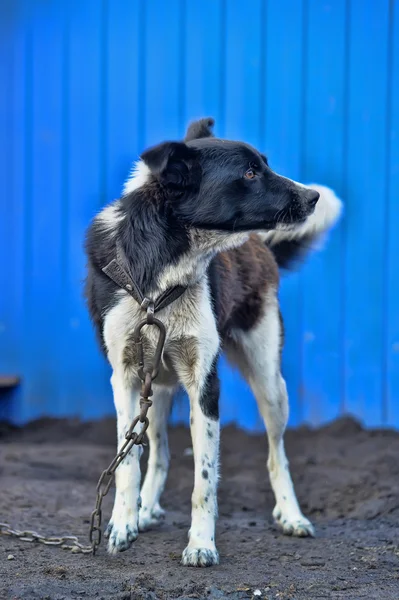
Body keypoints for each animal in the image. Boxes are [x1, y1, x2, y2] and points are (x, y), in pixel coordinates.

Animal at [86, 118, 342, 568]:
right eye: (250, 173)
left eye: (263, 165)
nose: (312, 196)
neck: (161, 274)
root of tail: (259, 245)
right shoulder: (126, 378)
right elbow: (129, 460)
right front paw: (123, 523)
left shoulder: (204, 384)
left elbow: (204, 480)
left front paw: (201, 544)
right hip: (157, 386)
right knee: (158, 451)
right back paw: (146, 510)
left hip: (269, 382)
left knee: (277, 453)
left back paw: (291, 515)